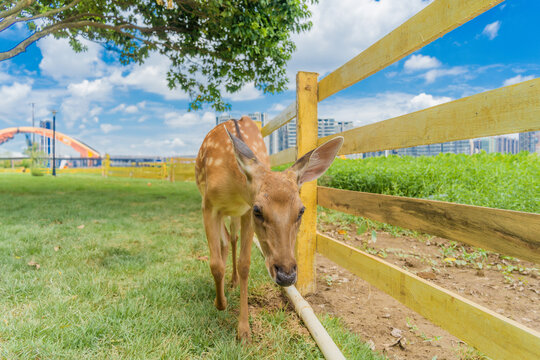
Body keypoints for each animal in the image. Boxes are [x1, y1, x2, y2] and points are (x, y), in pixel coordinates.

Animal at [196, 115, 344, 340]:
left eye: (301, 210)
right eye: (259, 210)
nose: (287, 275)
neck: (234, 188)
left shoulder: (244, 211)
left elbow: (245, 264)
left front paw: (244, 330)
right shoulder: (209, 205)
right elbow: (215, 265)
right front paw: (220, 303)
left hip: (234, 215)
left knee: (230, 239)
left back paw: (233, 281)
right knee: (224, 242)